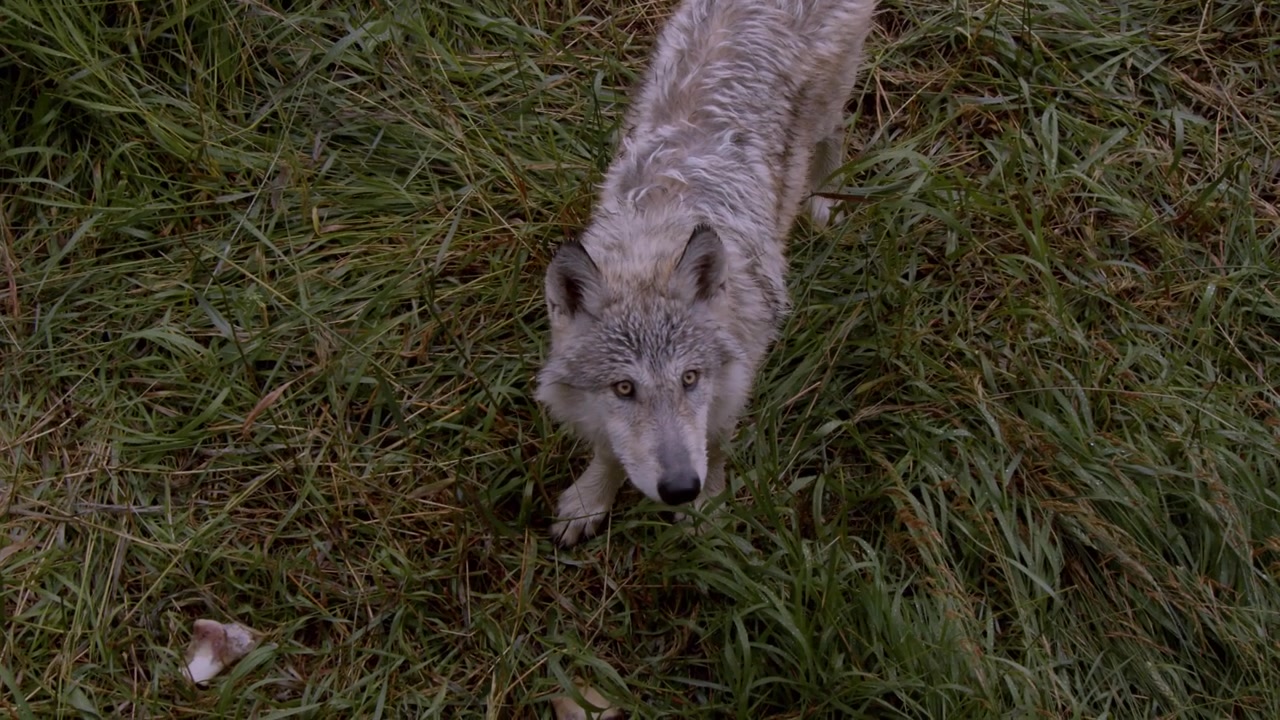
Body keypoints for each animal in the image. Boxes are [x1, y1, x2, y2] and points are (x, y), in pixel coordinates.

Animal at [537, 0, 877, 547]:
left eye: (690, 378)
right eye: (624, 389)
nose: (680, 488)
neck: (659, 227)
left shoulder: (736, 379)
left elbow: (715, 446)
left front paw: (707, 509)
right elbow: (610, 448)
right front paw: (590, 501)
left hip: (831, 104)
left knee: (835, 133)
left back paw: (826, 202)